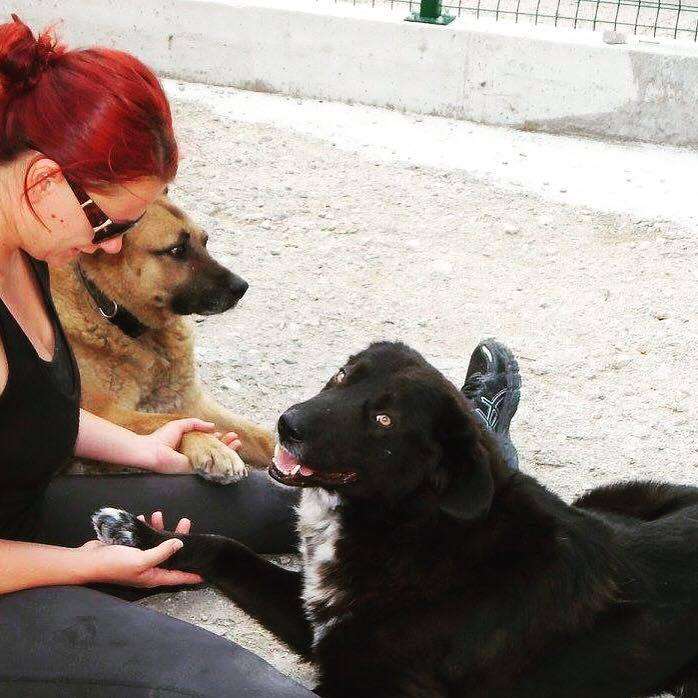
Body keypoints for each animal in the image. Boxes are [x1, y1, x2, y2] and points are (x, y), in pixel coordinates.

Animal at [51, 194, 274, 478]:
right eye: (177, 250)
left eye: (205, 241)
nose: (242, 287)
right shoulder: (107, 415)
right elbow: (171, 420)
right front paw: (212, 447)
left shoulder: (195, 404)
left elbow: (262, 436)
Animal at [92, 340, 698, 692]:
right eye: (342, 374)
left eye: (383, 420)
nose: (287, 423)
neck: (408, 525)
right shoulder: (318, 623)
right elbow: (225, 547)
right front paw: (138, 537)